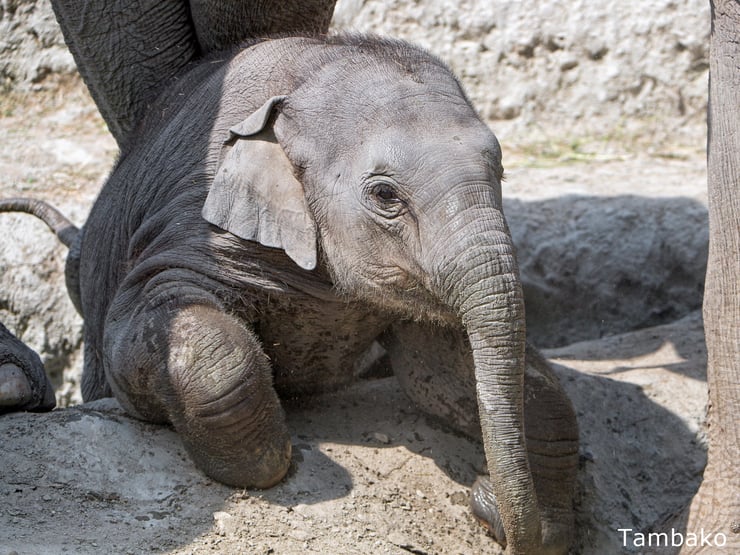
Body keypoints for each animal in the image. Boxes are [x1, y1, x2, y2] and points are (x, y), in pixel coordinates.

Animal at [0, 34, 579, 554]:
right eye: (385, 194)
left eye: (501, 170)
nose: (485, 508)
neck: (307, 73)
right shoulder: (195, 212)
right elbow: (152, 323)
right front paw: (274, 461)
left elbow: (446, 369)